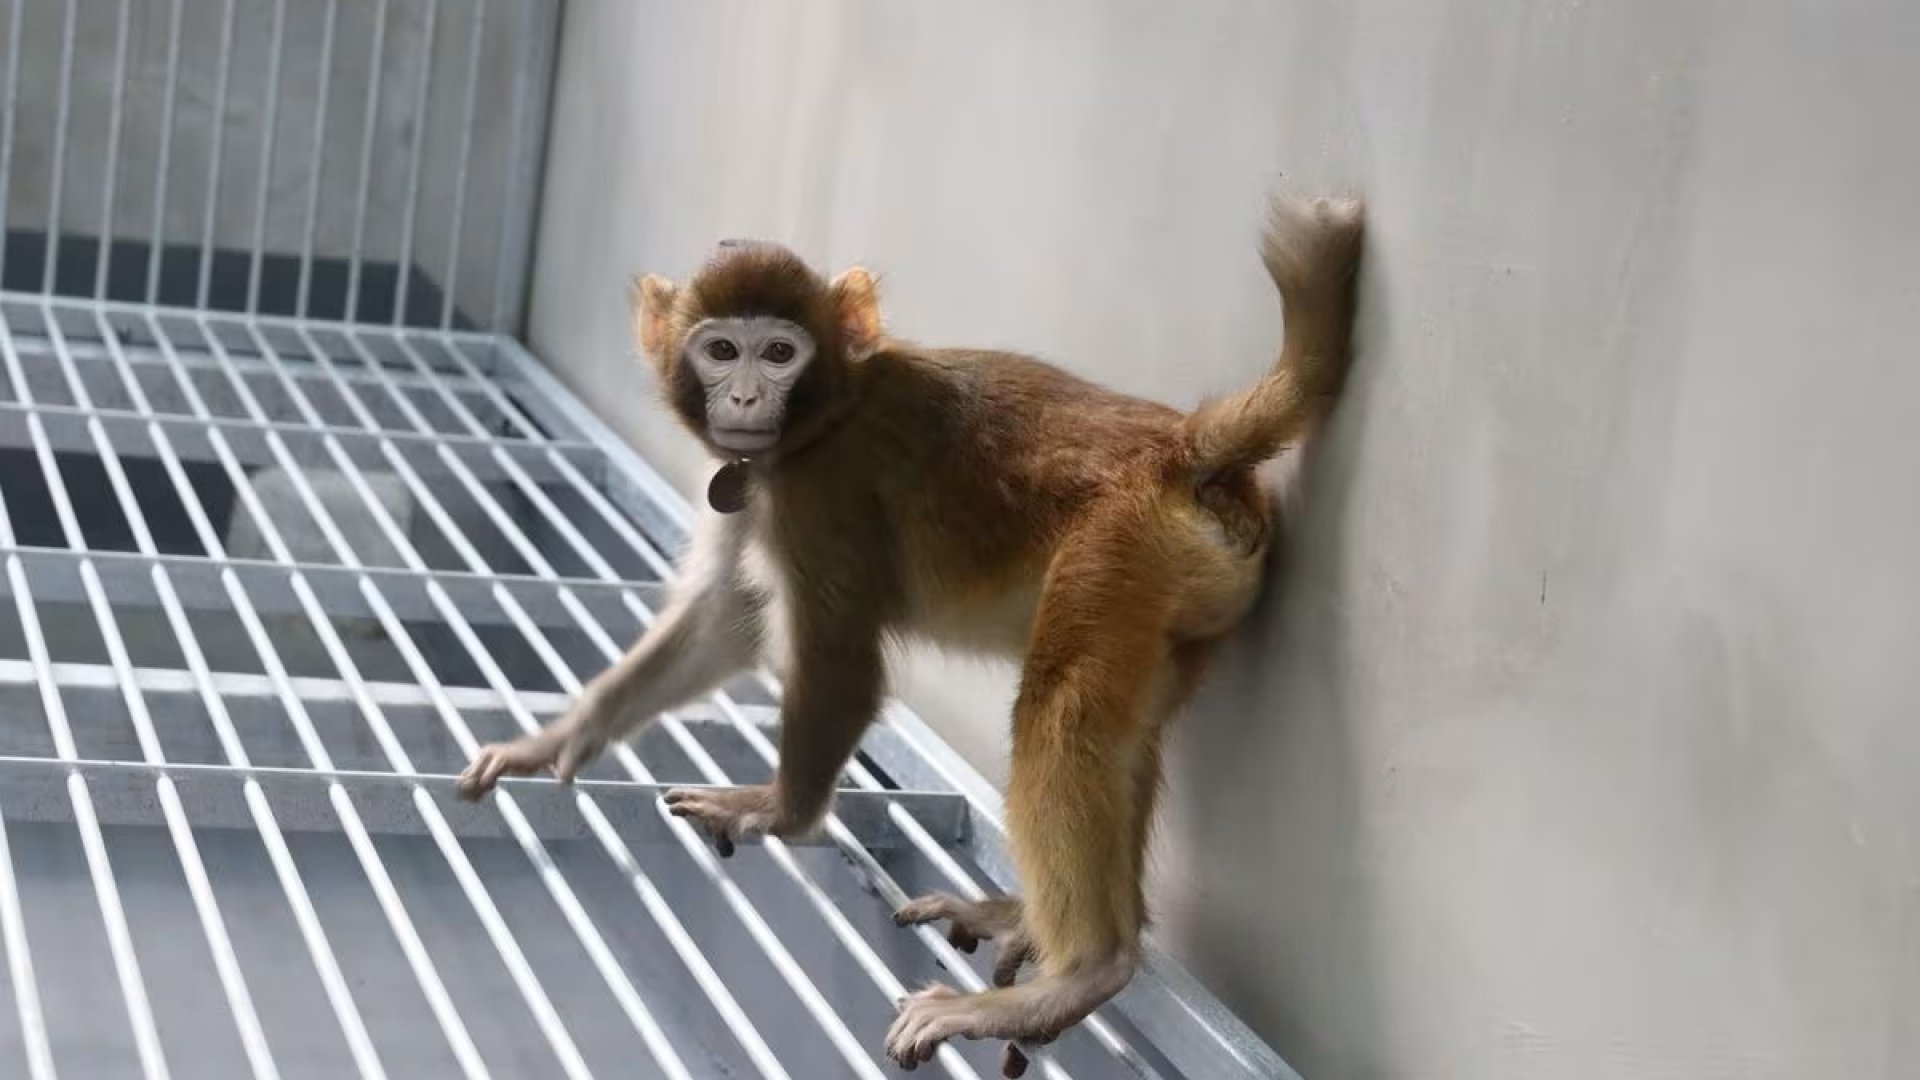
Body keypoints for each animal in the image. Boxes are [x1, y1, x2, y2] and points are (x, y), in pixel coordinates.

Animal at [456, 194, 1366, 1071]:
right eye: (720, 350)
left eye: (777, 353)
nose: (744, 399)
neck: (826, 414)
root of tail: (1180, 448)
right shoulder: (757, 483)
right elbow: (724, 618)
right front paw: (559, 738)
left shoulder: (821, 494)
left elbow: (841, 663)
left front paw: (782, 812)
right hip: (1177, 595)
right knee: (1120, 732)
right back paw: (1042, 926)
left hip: (1119, 549)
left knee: (1062, 714)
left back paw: (1080, 972)